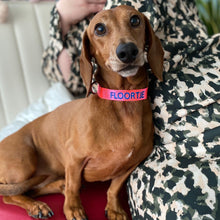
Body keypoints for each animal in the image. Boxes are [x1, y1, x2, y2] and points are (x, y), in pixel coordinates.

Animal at [0, 5, 163, 220]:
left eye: (135, 20)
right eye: (99, 29)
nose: (127, 51)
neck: (123, 101)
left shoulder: (131, 164)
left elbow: (114, 187)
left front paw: (114, 209)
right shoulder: (74, 157)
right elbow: (74, 185)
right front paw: (73, 209)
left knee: (31, 189)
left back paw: (54, 188)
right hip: (24, 161)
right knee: (10, 195)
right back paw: (36, 206)